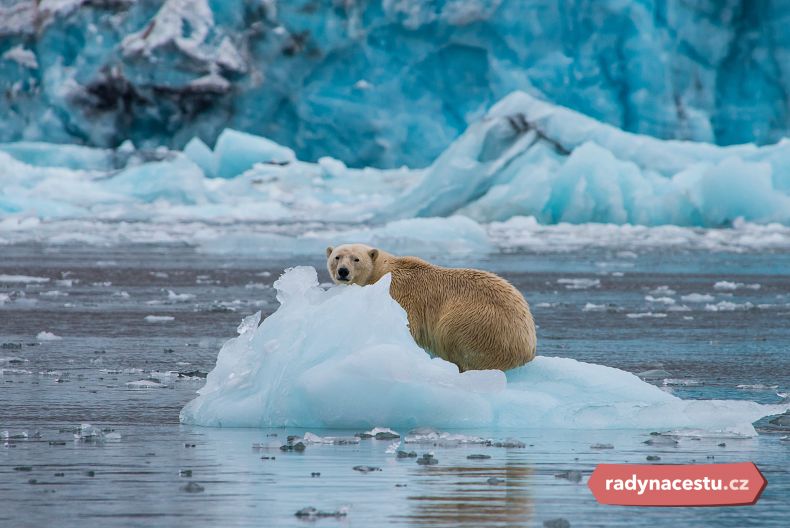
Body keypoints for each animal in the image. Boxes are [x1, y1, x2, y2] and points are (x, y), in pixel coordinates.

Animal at [328, 243, 540, 372]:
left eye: (356, 259)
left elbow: (408, 325)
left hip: (479, 323)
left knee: (452, 334)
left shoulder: (401, 294)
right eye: (337, 257)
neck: (383, 272)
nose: (343, 271)